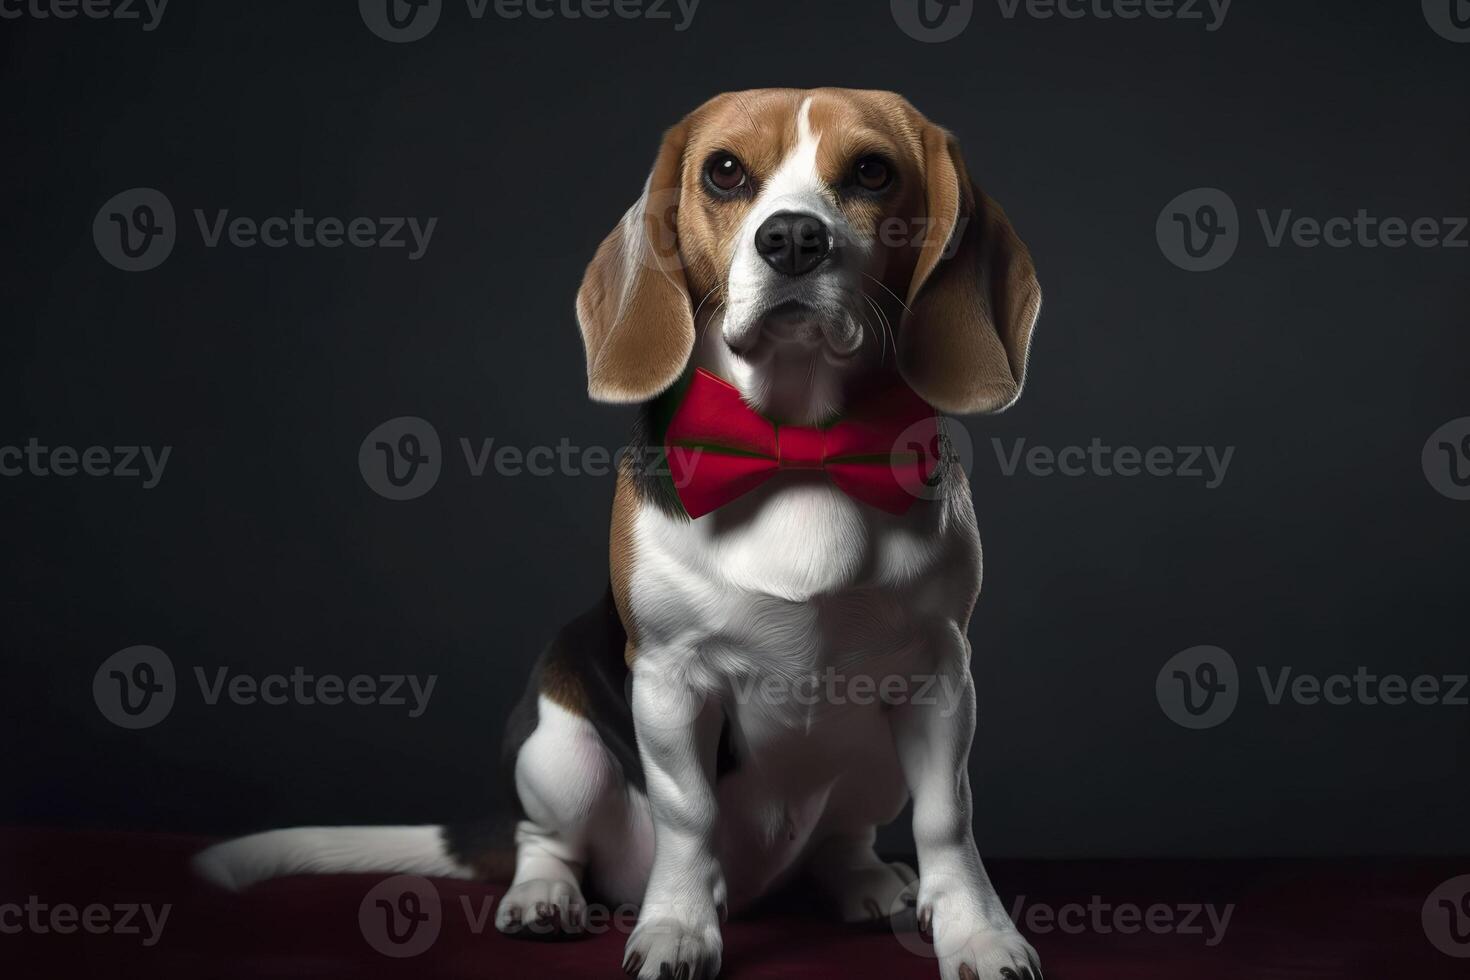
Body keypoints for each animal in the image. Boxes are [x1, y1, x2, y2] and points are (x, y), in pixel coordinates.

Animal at [195, 86, 1046, 980]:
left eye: (873, 172)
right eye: (725, 171)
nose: (792, 239)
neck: (799, 446)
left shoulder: (940, 673)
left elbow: (948, 817)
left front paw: (978, 933)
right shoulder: (669, 677)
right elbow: (688, 814)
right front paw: (676, 928)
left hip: (873, 761)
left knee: (840, 839)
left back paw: (864, 882)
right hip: (560, 746)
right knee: (549, 840)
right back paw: (546, 898)